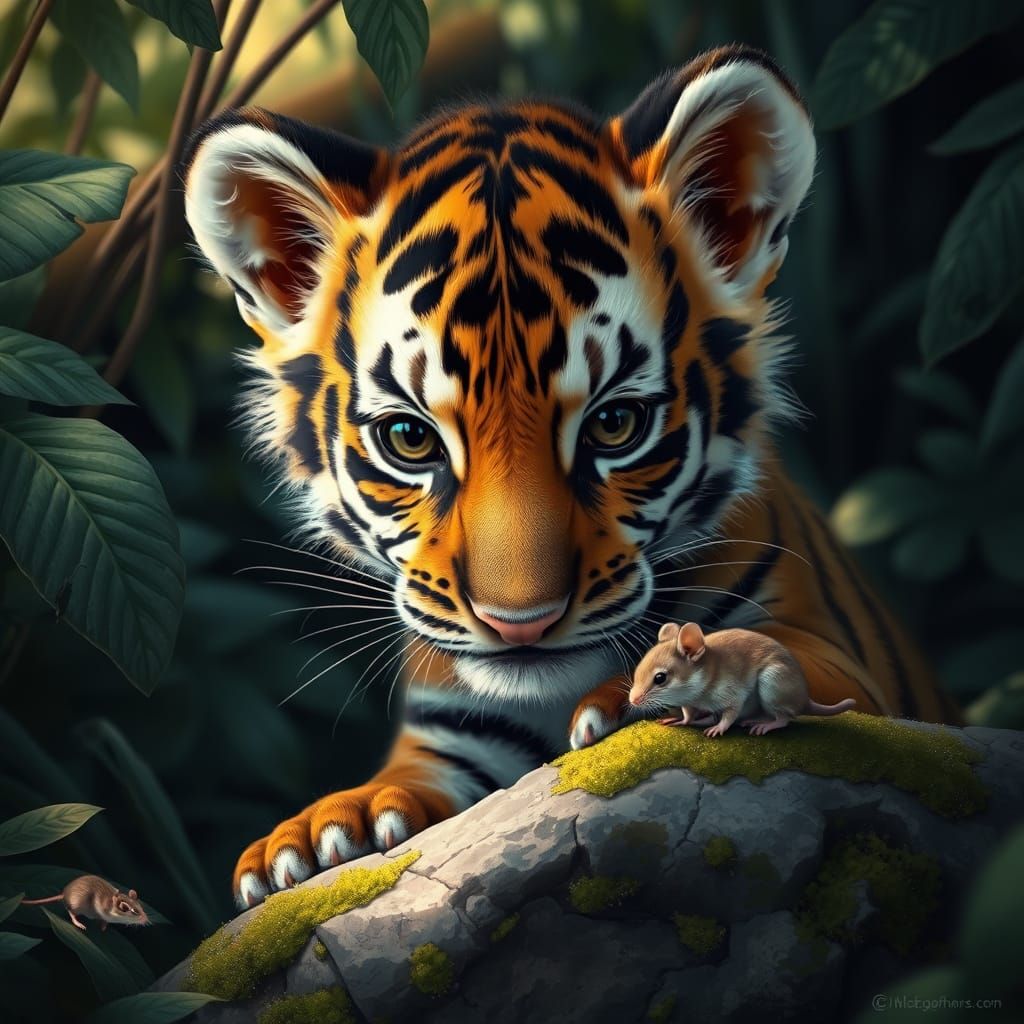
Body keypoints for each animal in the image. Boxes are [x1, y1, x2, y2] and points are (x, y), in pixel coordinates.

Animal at [182, 45, 958, 908]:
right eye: (411, 439)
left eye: (615, 424)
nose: (520, 624)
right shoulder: (452, 736)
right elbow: (402, 784)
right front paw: (321, 835)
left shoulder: (836, 660)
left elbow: (765, 659)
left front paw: (630, 701)